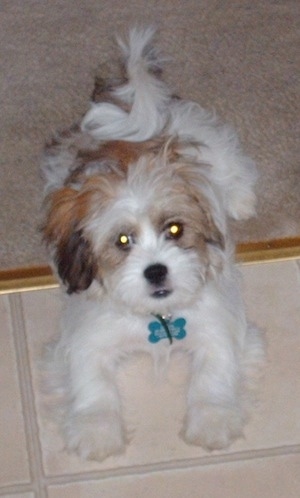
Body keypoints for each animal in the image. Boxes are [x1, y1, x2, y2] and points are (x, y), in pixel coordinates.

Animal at [40, 27, 264, 462]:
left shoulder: (217, 323)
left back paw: (241, 200)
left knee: (233, 167)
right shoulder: (87, 335)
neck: (156, 317)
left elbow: (215, 370)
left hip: (209, 145)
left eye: (174, 230)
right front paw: (96, 431)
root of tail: (134, 122)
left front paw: (212, 420)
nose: (156, 270)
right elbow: (91, 382)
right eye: (123, 240)